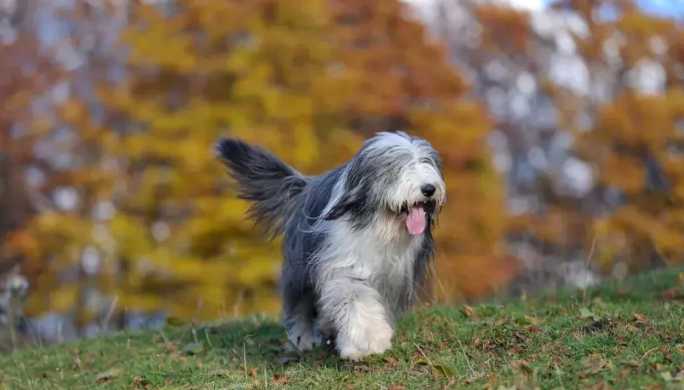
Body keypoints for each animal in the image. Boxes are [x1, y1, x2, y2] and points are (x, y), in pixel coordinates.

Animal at [216, 131, 446, 360]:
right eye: (396, 167)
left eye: (427, 162)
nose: (428, 189)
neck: (380, 226)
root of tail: (306, 185)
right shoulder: (342, 263)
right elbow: (355, 299)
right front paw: (367, 341)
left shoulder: (394, 277)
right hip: (299, 267)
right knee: (299, 303)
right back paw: (303, 339)